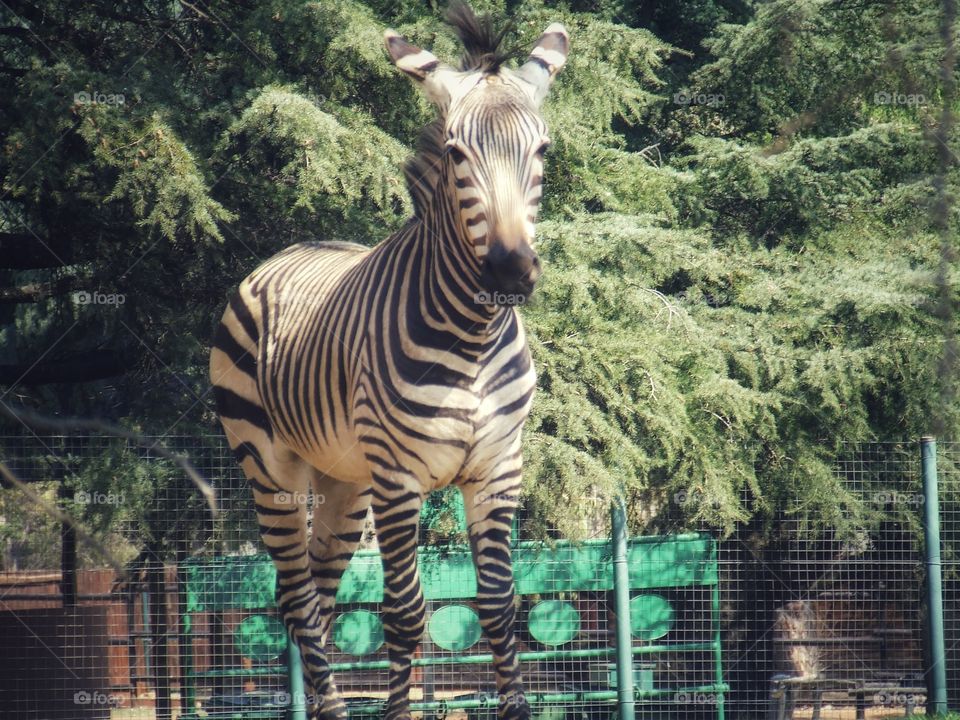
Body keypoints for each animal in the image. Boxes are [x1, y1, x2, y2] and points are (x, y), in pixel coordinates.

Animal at [209, 6, 568, 720]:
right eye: (457, 154)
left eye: (542, 151)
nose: (510, 272)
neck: (474, 335)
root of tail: (290, 250)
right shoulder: (399, 480)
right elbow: (405, 614)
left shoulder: (498, 469)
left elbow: (499, 606)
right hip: (272, 467)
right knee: (297, 600)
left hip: (346, 479)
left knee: (316, 602)